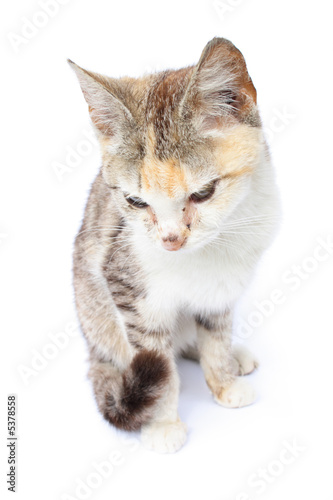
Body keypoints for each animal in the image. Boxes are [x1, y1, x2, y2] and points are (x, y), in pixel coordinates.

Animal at [68, 36, 278, 454]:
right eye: (135, 202)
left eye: (203, 193)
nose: (170, 240)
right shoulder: (126, 286)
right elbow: (158, 363)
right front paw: (163, 423)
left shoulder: (222, 286)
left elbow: (215, 334)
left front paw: (224, 381)